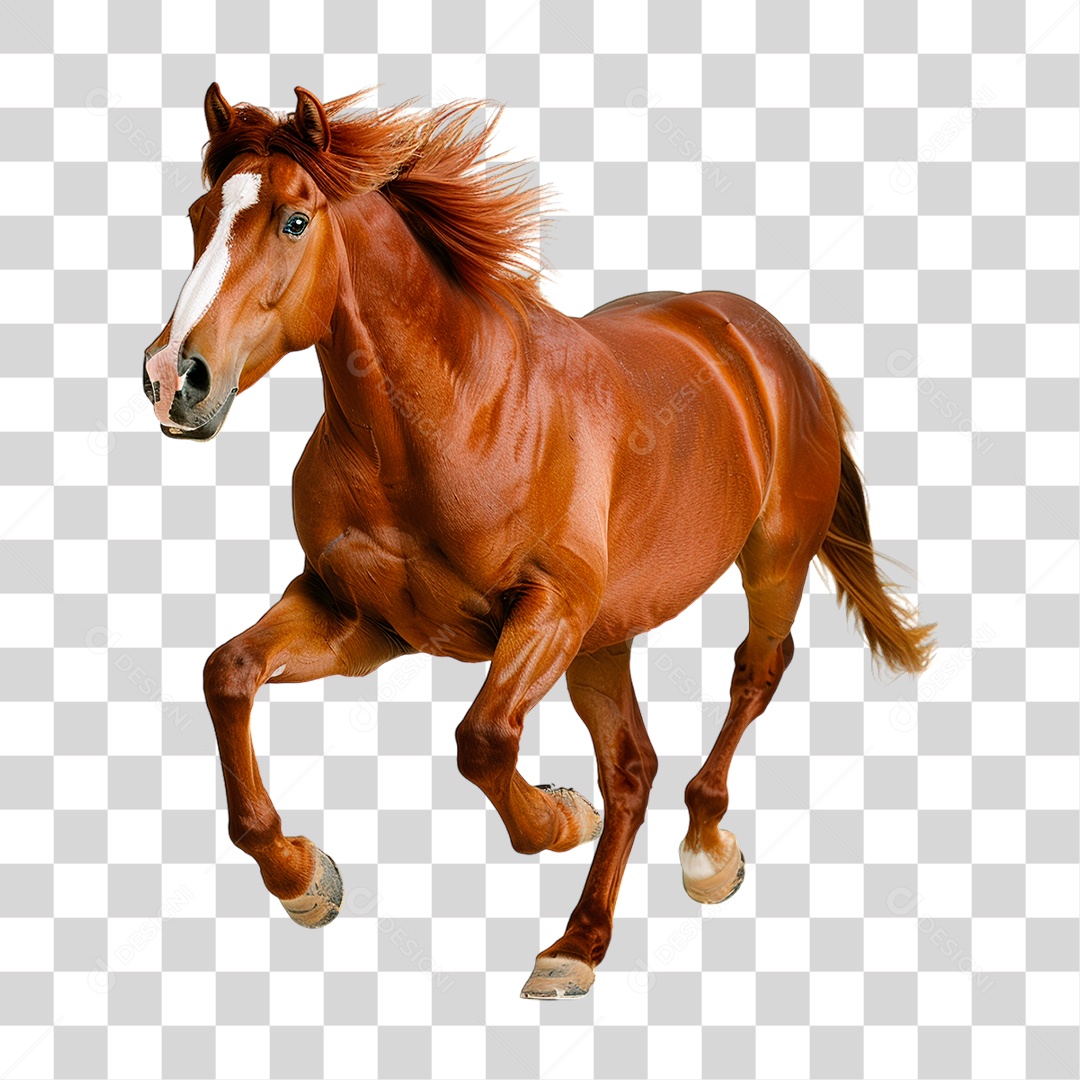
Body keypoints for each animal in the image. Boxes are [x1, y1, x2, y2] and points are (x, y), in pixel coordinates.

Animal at [143, 84, 935, 999]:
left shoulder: (547, 608)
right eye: (199, 214)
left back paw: (703, 854)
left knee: (753, 675)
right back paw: (579, 944)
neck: (444, 420)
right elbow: (229, 674)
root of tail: (761, 338)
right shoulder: (362, 622)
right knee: (631, 768)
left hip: (765, 565)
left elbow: (483, 740)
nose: (171, 378)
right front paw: (304, 877)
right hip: (604, 635)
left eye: (294, 221)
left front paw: (557, 817)